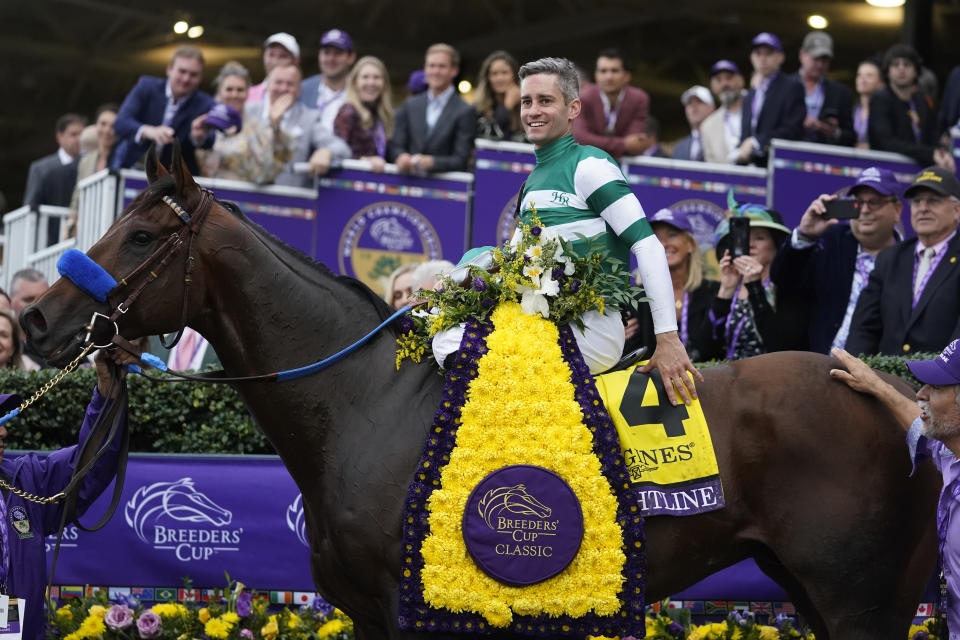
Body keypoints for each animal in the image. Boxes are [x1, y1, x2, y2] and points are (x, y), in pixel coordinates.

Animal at [20, 150, 936, 640]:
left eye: (140, 234)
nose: (32, 320)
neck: (368, 405)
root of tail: (884, 388)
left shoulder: (413, 610)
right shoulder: (371, 614)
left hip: (858, 592)